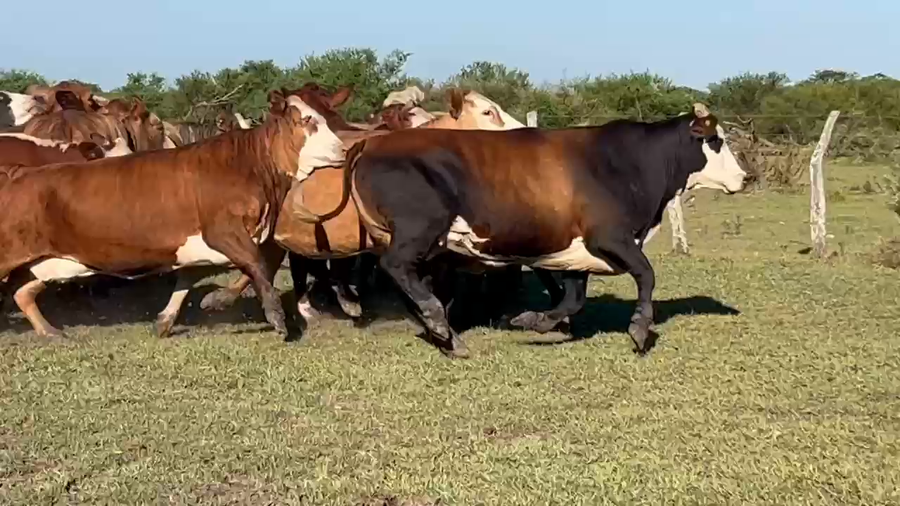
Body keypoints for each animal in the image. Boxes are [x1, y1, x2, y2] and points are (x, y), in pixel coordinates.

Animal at [0, 93, 346, 339]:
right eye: (308, 120)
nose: (342, 149)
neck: (251, 165)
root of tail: (18, 173)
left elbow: (192, 277)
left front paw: (178, 315)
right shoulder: (223, 231)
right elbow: (257, 264)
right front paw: (275, 316)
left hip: (53, 261)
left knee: (22, 291)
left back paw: (50, 332)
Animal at [292, 103, 747, 358]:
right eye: (716, 141)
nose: (746, 177)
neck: (628, 162)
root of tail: (372, 143)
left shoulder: (575, 252)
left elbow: (572, 300)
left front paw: (534, 321)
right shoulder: (611, 237)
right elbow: (647, 275)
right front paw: (639, 328)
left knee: (406, 281)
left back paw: (444, 333)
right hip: (418, 232)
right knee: (396, 268)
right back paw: (440, 323)